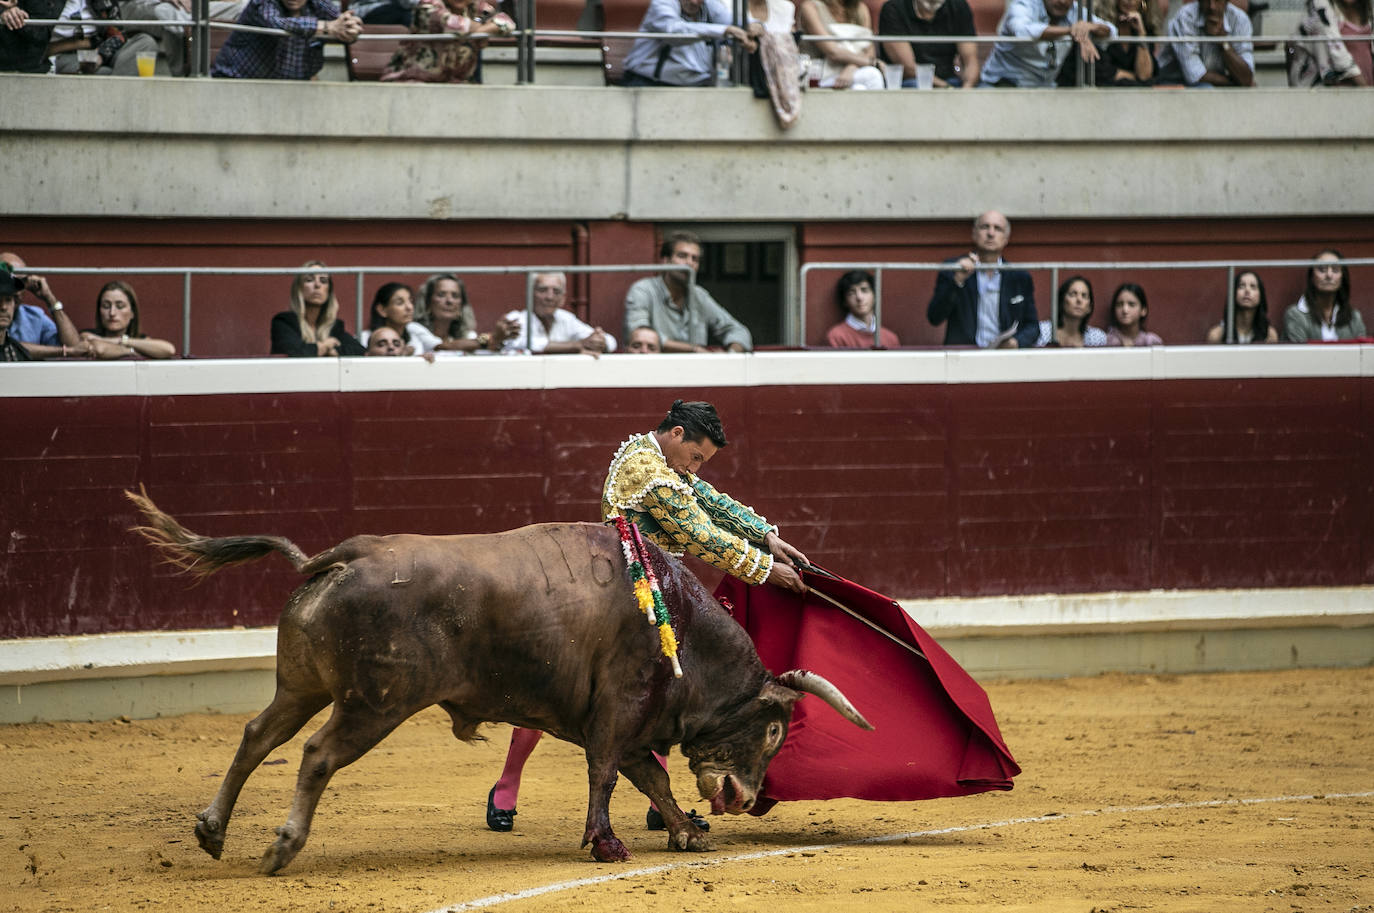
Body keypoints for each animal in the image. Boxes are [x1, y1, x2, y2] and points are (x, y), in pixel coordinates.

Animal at [123, 489, 868, 874]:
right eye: (772, 730)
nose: (746, 798)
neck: (678, 622)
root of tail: (339, 556)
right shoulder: (619, 708)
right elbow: (606, 775)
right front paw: (607, 843)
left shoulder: (625, 723)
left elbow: (649, 777)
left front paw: (685, 831)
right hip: (375, 704)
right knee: (316, 754)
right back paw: (282, 845)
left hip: (300, 685)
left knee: (257, 736)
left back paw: (212, 830)